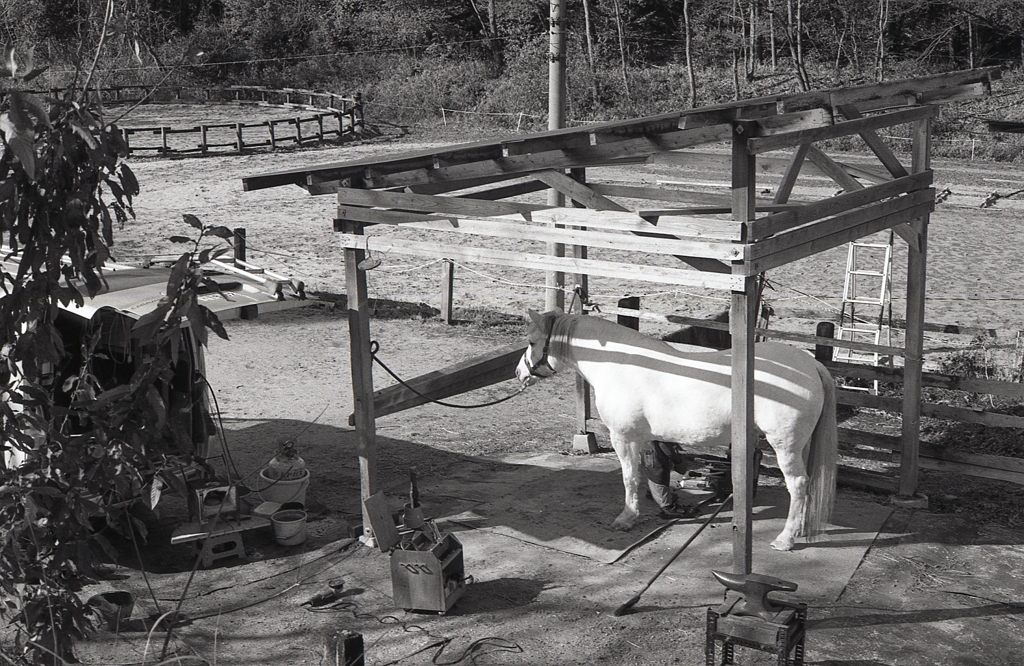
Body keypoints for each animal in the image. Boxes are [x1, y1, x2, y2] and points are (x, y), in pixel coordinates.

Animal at [516, 309, 835, 549]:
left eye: (531, 342)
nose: (519, 373)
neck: (620, 364)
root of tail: (811, 365)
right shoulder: (648, 439)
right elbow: (655, 474)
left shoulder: (624, 438)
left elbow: (630, 478)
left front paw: (627, 517)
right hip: (801, 445)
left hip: (785, 446)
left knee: (798, 485)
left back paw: (785, 539)